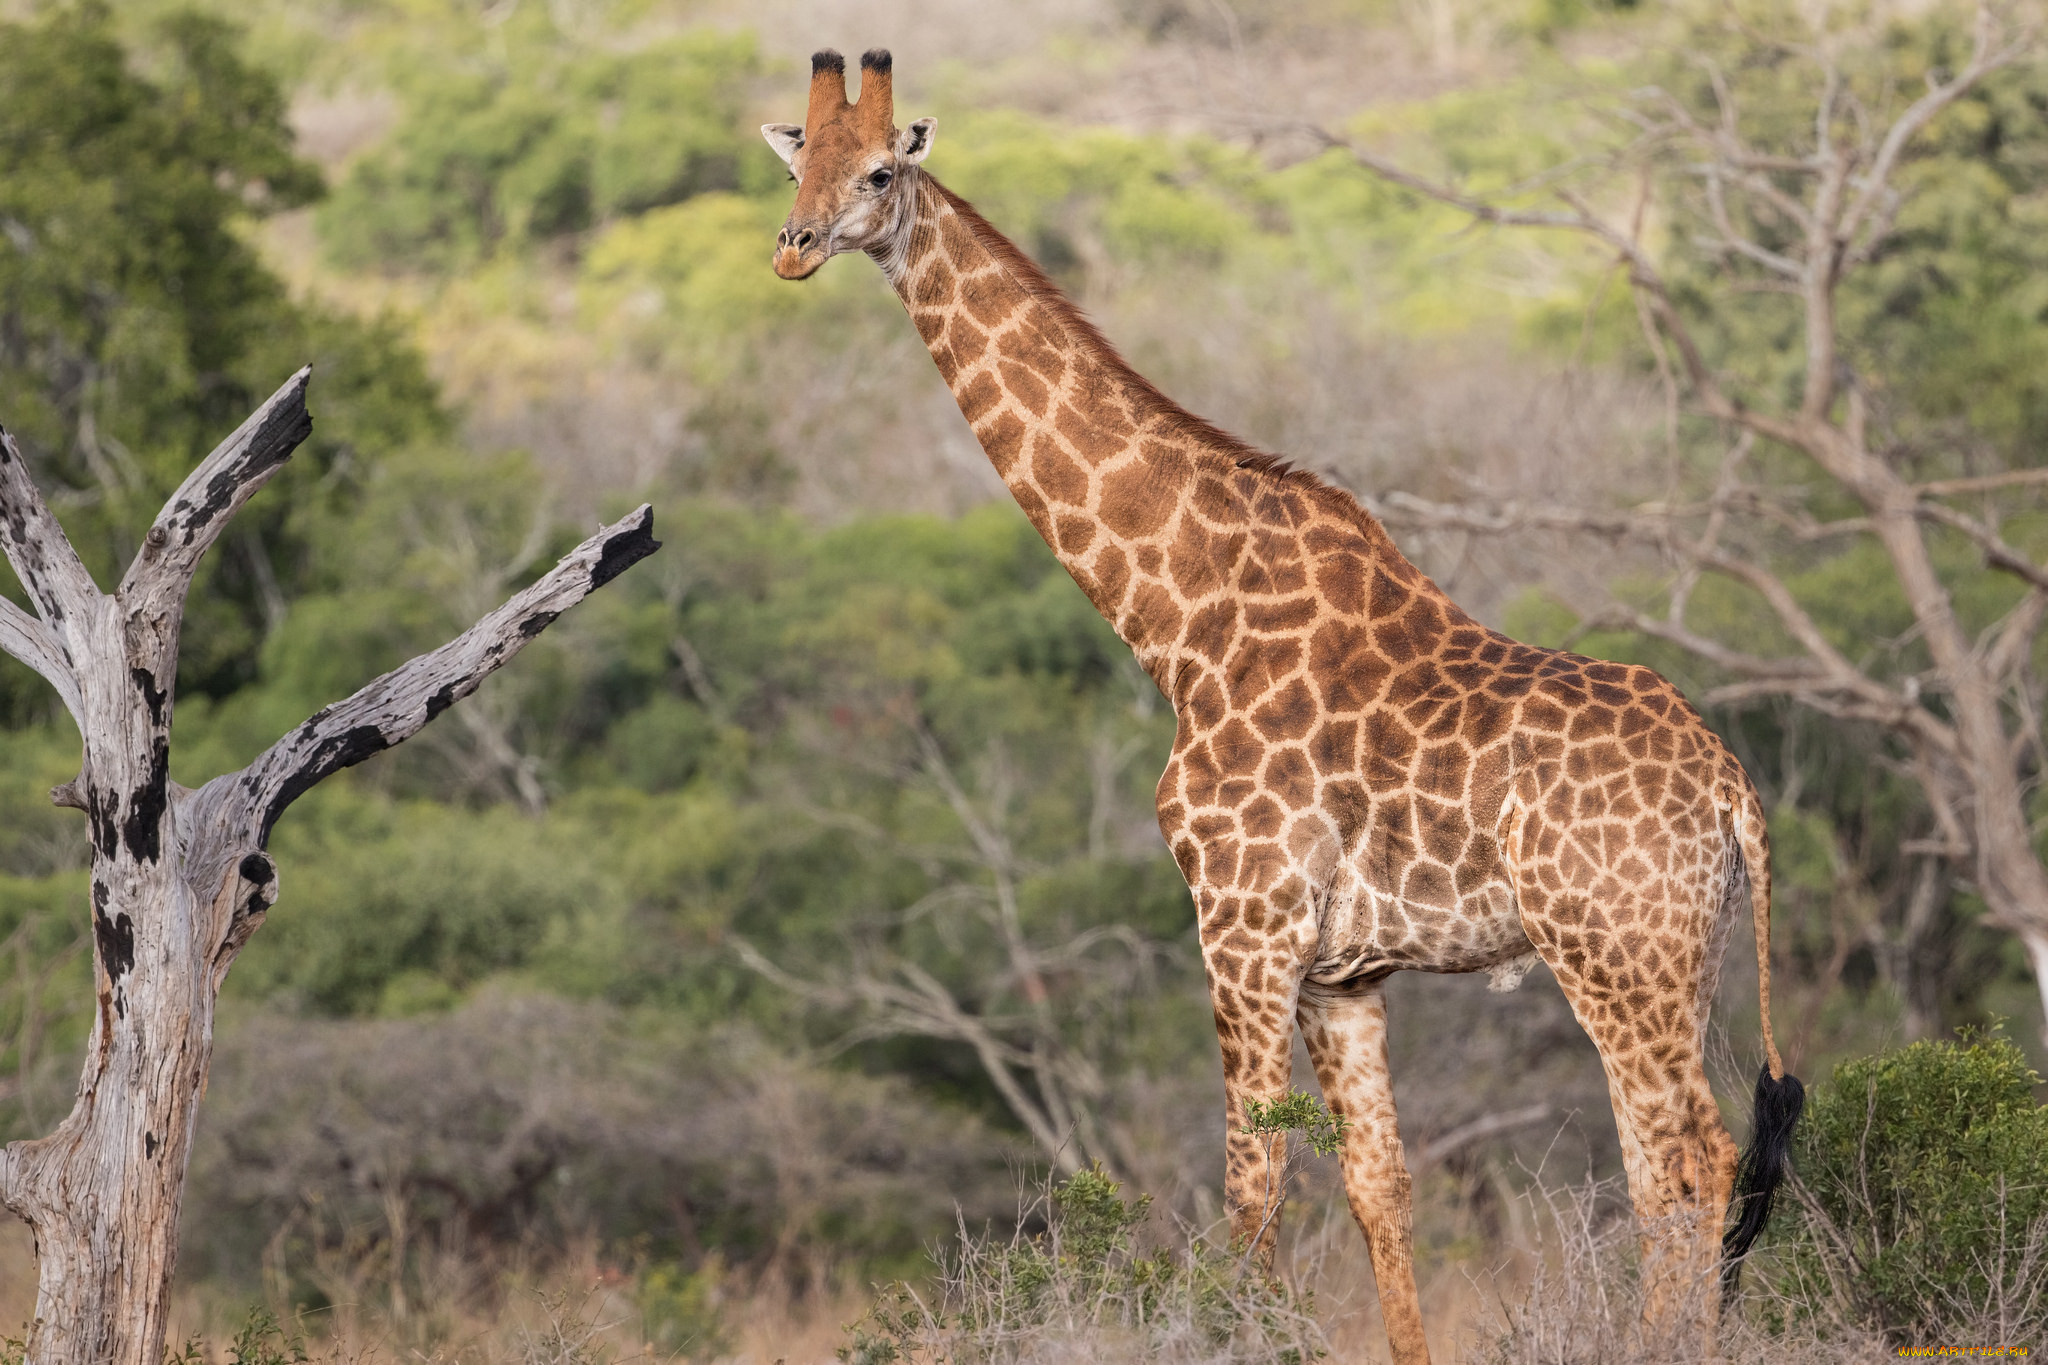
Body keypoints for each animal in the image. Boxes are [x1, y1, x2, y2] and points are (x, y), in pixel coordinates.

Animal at [761, 48, 1802, 1358]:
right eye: (795, 160)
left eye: (879, 173)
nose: (792, 248)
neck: (1176, 619)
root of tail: (1729, 792)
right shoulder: (1339, 972)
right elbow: (1375, 1185)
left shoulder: (1241, 922)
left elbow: (1249, 1191)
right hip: (1672, 954)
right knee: (1660, 1163)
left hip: (1613, 950)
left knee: (1694, 1158)